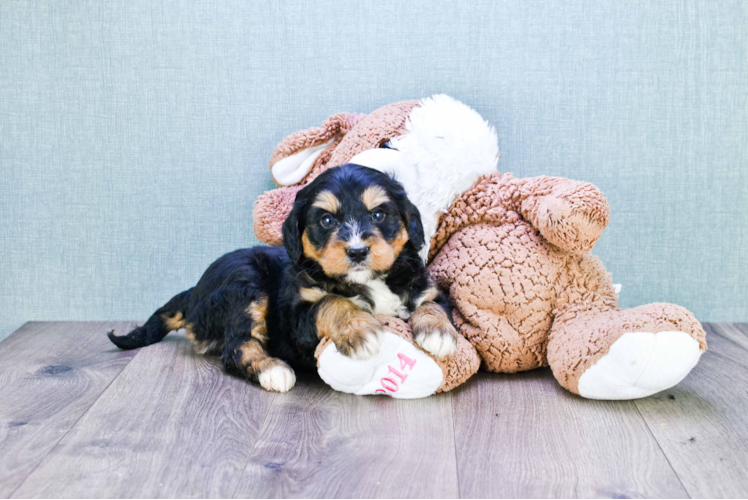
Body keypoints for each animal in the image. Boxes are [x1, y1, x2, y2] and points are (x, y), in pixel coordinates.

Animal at [105, 164, 456, 390]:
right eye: (326, 220)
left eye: (378, 214)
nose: (357, 251)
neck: (367, 280)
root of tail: (194, 292)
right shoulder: (295, 320)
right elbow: (331, 303)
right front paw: (359, 330)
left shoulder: (425, 288)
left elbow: (434, 304)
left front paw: (438, 333)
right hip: (245, 281)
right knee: (237, 346)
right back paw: (272, 370)